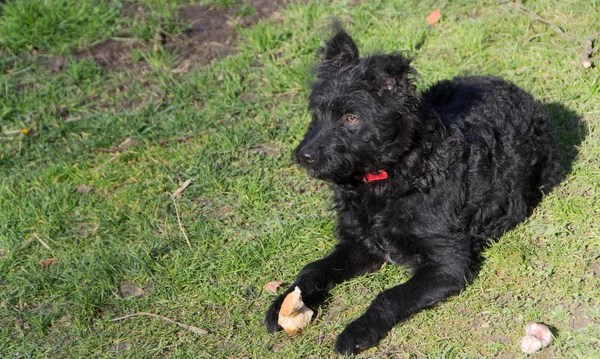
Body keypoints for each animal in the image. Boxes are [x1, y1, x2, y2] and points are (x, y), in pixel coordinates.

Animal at [264, 26, 560, 356]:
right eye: (317, 113)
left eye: (352, 118)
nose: (304, 156)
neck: (395, 174)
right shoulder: (358, 244)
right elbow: (313, 269)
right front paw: (283, 302)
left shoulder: (448, 264)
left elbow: (388, 296)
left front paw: (357, 331)